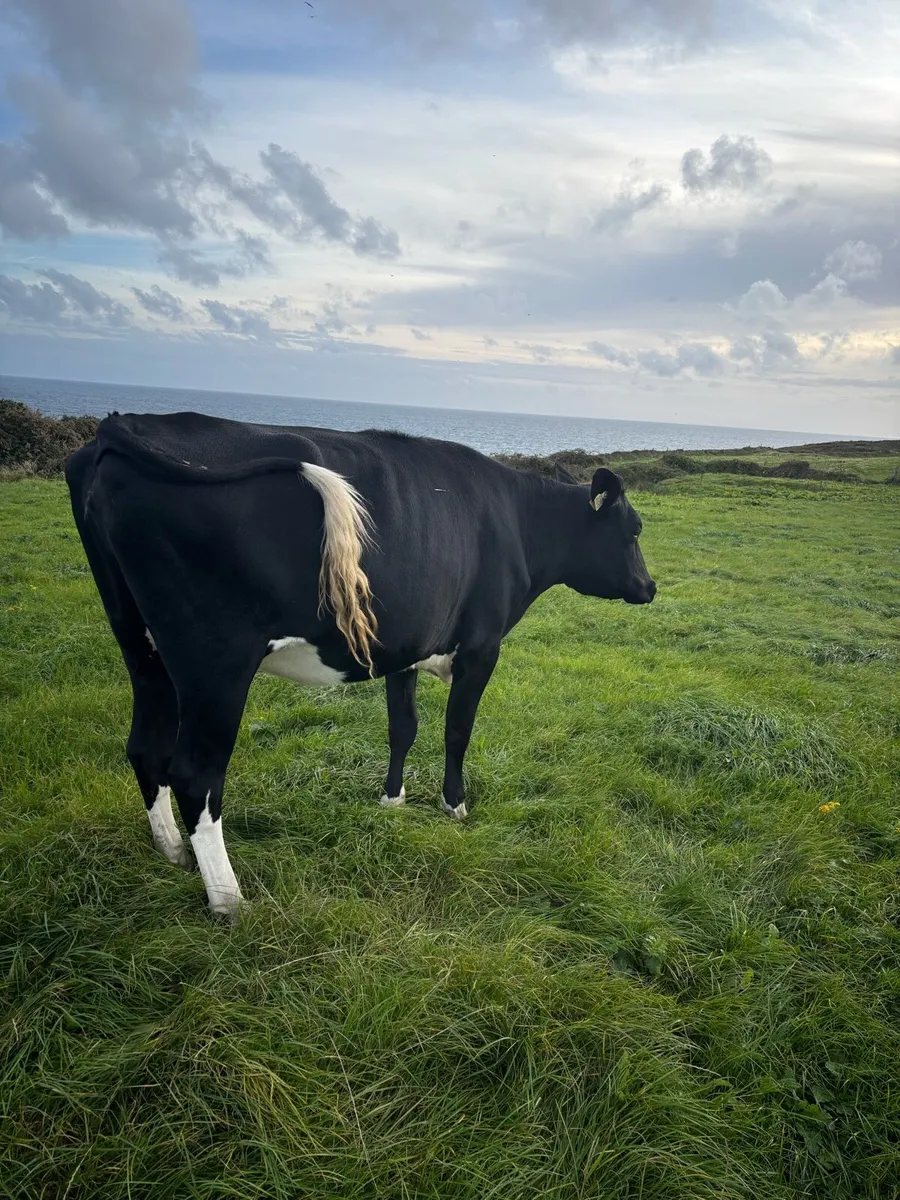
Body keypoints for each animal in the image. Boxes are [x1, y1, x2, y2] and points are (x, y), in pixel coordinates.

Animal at [66, 411, 655, 919]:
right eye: (634, 530)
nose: (650, 587)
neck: (517, 525)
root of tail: (124, 425)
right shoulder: (482, 647)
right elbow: (457, 731)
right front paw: (455, 806)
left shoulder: (403, 647)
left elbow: (403, 727)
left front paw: (392, 800)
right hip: (214, 661)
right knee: (195, 773)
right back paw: (230, 902)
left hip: (142, 647)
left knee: (145, 748)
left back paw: (171, 852)